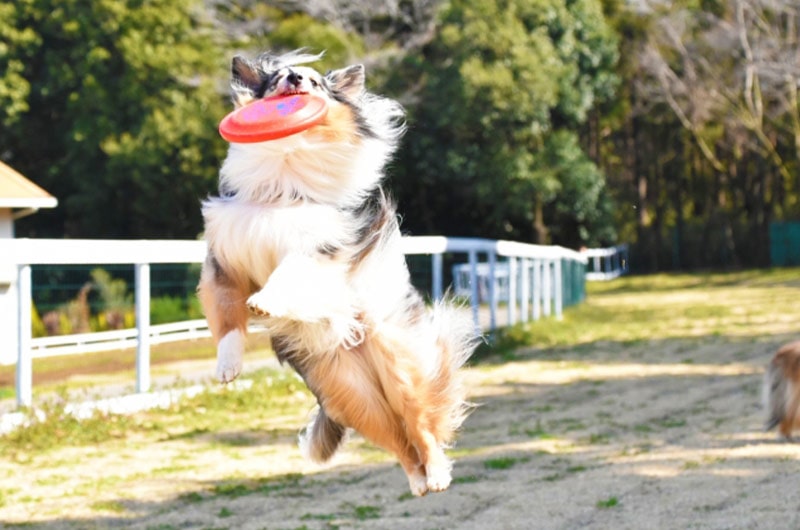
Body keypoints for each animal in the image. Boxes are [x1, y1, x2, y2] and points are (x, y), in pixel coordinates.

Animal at [198, 51, 478, 492]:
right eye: (278, 78)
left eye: (314, 82)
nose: (296, 78)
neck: (284, 178)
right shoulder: (225, 260)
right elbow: (226, 317)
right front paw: (227, 367)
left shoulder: (320, 248)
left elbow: (290, 272)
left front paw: (264, 301)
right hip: (348, 392)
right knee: (396, 437)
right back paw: (416, 480)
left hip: (400, 363)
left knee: (421, 424)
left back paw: (435, 474)